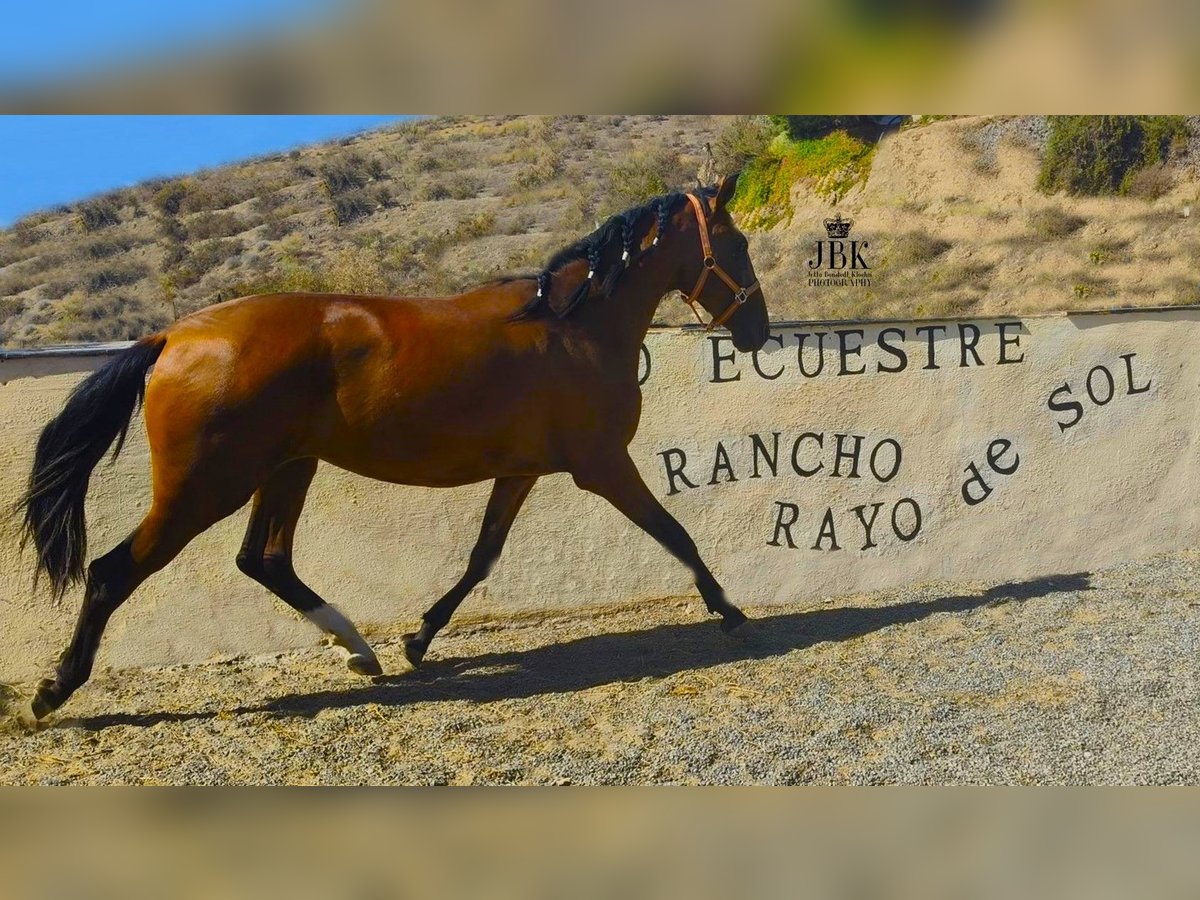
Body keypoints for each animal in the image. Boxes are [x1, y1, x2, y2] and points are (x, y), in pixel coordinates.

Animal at [16, 174, 768, 720]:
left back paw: (361, 652)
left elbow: (482, 557)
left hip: (287, 468)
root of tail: (173, 336)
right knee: (113, 572)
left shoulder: (523, 471)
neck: (575, 326)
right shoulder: (603, 465)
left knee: (264, 560)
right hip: (204, 486)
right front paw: (732, 613)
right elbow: (674, 531)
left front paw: (416, 639)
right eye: (737, 247)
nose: (757, 330)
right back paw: (52, 693)